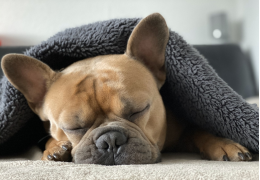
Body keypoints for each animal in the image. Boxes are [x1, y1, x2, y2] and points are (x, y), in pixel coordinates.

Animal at [1, 13, 251, 165]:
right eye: (73, 127)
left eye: (139, 110)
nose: (110, 140)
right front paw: (55, 148)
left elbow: (199, 130)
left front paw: (223, 143)